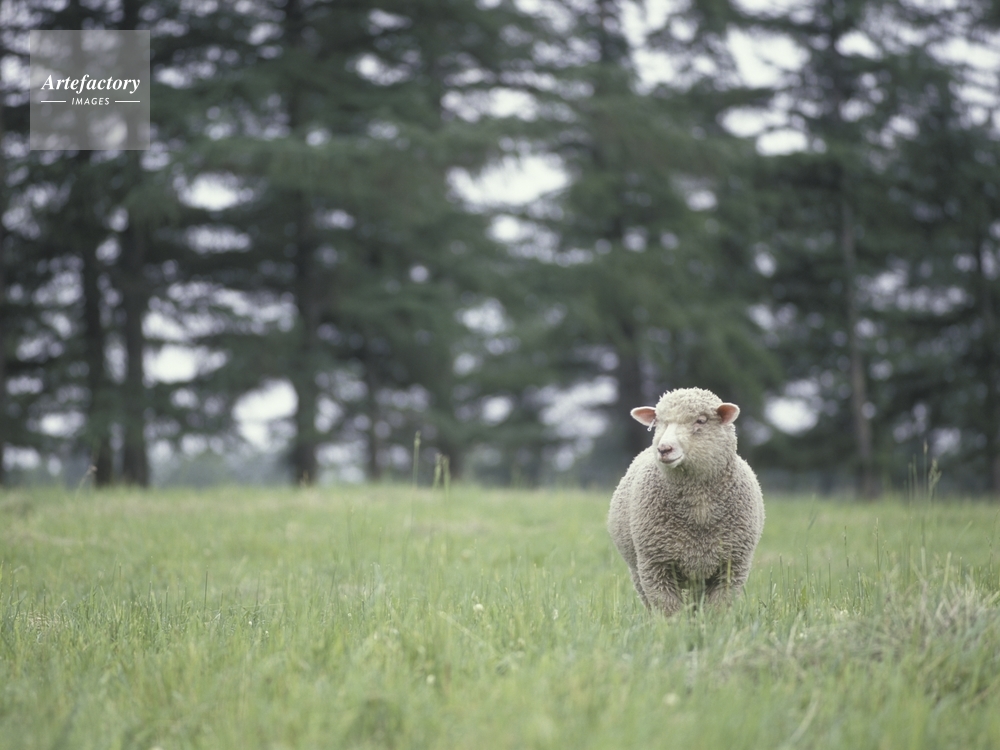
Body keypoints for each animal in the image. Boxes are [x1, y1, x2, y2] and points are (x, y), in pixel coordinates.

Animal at [607, 387, 764, 616]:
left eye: (701, 420)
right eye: (657, 421)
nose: (664, 449)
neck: (700, 508)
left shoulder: (733, 565)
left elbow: (717, 610)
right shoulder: (655, 564)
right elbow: (668, 609)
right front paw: (674, 626)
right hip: (637, 568)